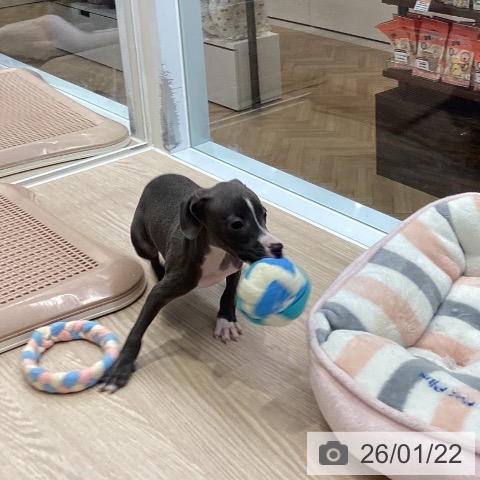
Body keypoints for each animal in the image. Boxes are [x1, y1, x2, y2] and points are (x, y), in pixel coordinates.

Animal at [99, 174, 283, 391]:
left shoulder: (235, 266)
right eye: (237, 224)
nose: (277, 247)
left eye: (264, 214)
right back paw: (159, 271)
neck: (216, 253)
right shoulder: (159, 293)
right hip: (141, 242)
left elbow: (228, 294)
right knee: (152, 257)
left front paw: (226, 321)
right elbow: (137, 331)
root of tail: (160, 177)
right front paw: (122, 366)